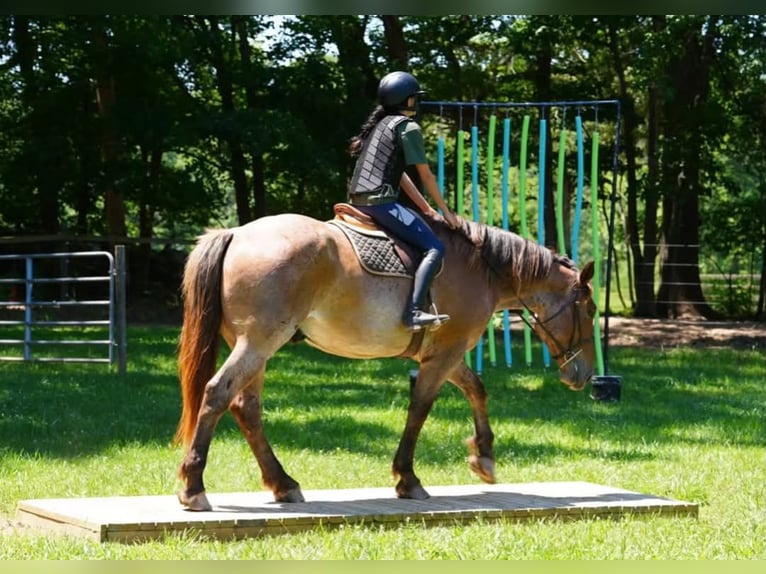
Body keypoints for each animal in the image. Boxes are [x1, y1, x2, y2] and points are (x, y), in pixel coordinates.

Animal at [174, 211, 597, 511]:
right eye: (590, 310)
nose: (585, 374)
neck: (483, 269)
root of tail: (236, 233)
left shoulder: (444, 352)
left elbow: (476, 389)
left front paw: (484, 456)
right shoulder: (445, 353)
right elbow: (421, 408)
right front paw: (408, 478)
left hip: (255, 349)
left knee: (246, 408)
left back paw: (283, 483)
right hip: (258, 343)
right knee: (217, 394)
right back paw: (194, 487)